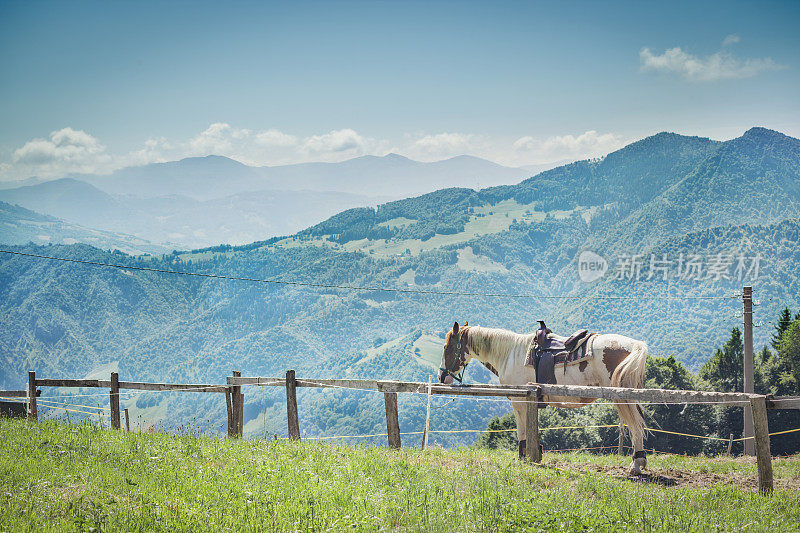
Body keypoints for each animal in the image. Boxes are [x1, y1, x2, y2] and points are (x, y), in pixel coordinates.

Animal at [438, 320, 648, 474]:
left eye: (447, 347)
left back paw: (636, 465)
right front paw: (535, 453)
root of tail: (635, 345)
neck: (510, 354)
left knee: (635, 424)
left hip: (624, 396)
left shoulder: (520, 400)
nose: (441, 376)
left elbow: (522, 429)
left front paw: (524, 455)